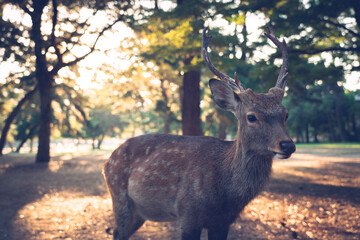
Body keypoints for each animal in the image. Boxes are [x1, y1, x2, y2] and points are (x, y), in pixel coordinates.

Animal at [103, 27, 296, 239]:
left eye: (285, 114)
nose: (288, 145)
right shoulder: (188, 212)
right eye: (251, 117)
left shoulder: (224, 221)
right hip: (119, 196)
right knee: (117, 231)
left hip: (139, 211)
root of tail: (107, 161)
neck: (226, 196)